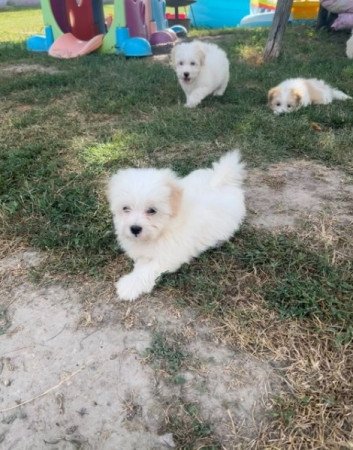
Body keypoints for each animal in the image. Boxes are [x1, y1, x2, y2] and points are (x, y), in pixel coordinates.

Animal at [107, 151, 245, 302]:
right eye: (125, 208)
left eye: (152, 210)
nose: (135, 229)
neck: (166, 226)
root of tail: (222, 180)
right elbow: (142, 263)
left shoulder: (169, 254)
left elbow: (148, 269)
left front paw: (129, 286)